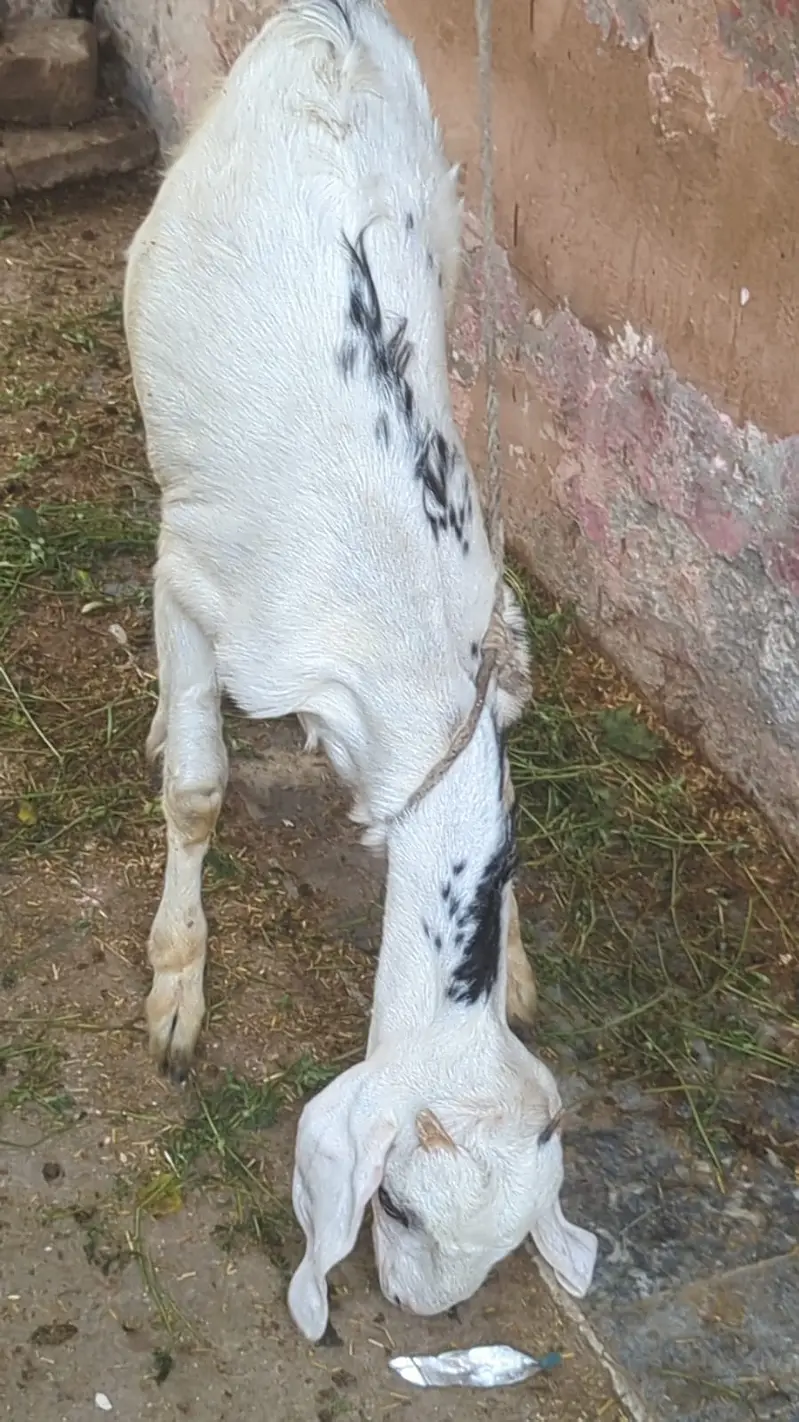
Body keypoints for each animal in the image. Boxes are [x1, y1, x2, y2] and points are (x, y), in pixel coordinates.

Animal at [123, 0, 597, 1341]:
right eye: (396, 1208)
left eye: (503, 1241)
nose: (422, 1312)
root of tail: (321, 25)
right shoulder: (198, 582)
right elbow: (196, 787)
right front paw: (176, 984)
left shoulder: (487, 635)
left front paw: (518, 959)